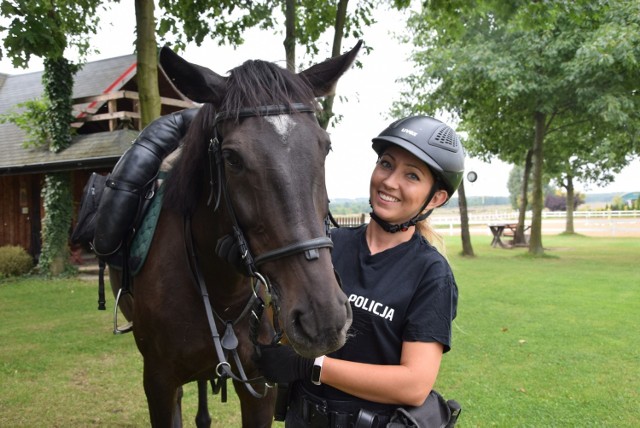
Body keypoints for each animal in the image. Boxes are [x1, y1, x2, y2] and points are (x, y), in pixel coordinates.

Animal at [107, 41, 362, 428]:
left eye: (325, 147)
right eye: (231, 158)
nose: (323, 318)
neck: (221, 291)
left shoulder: (261, 386)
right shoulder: (158, 382)